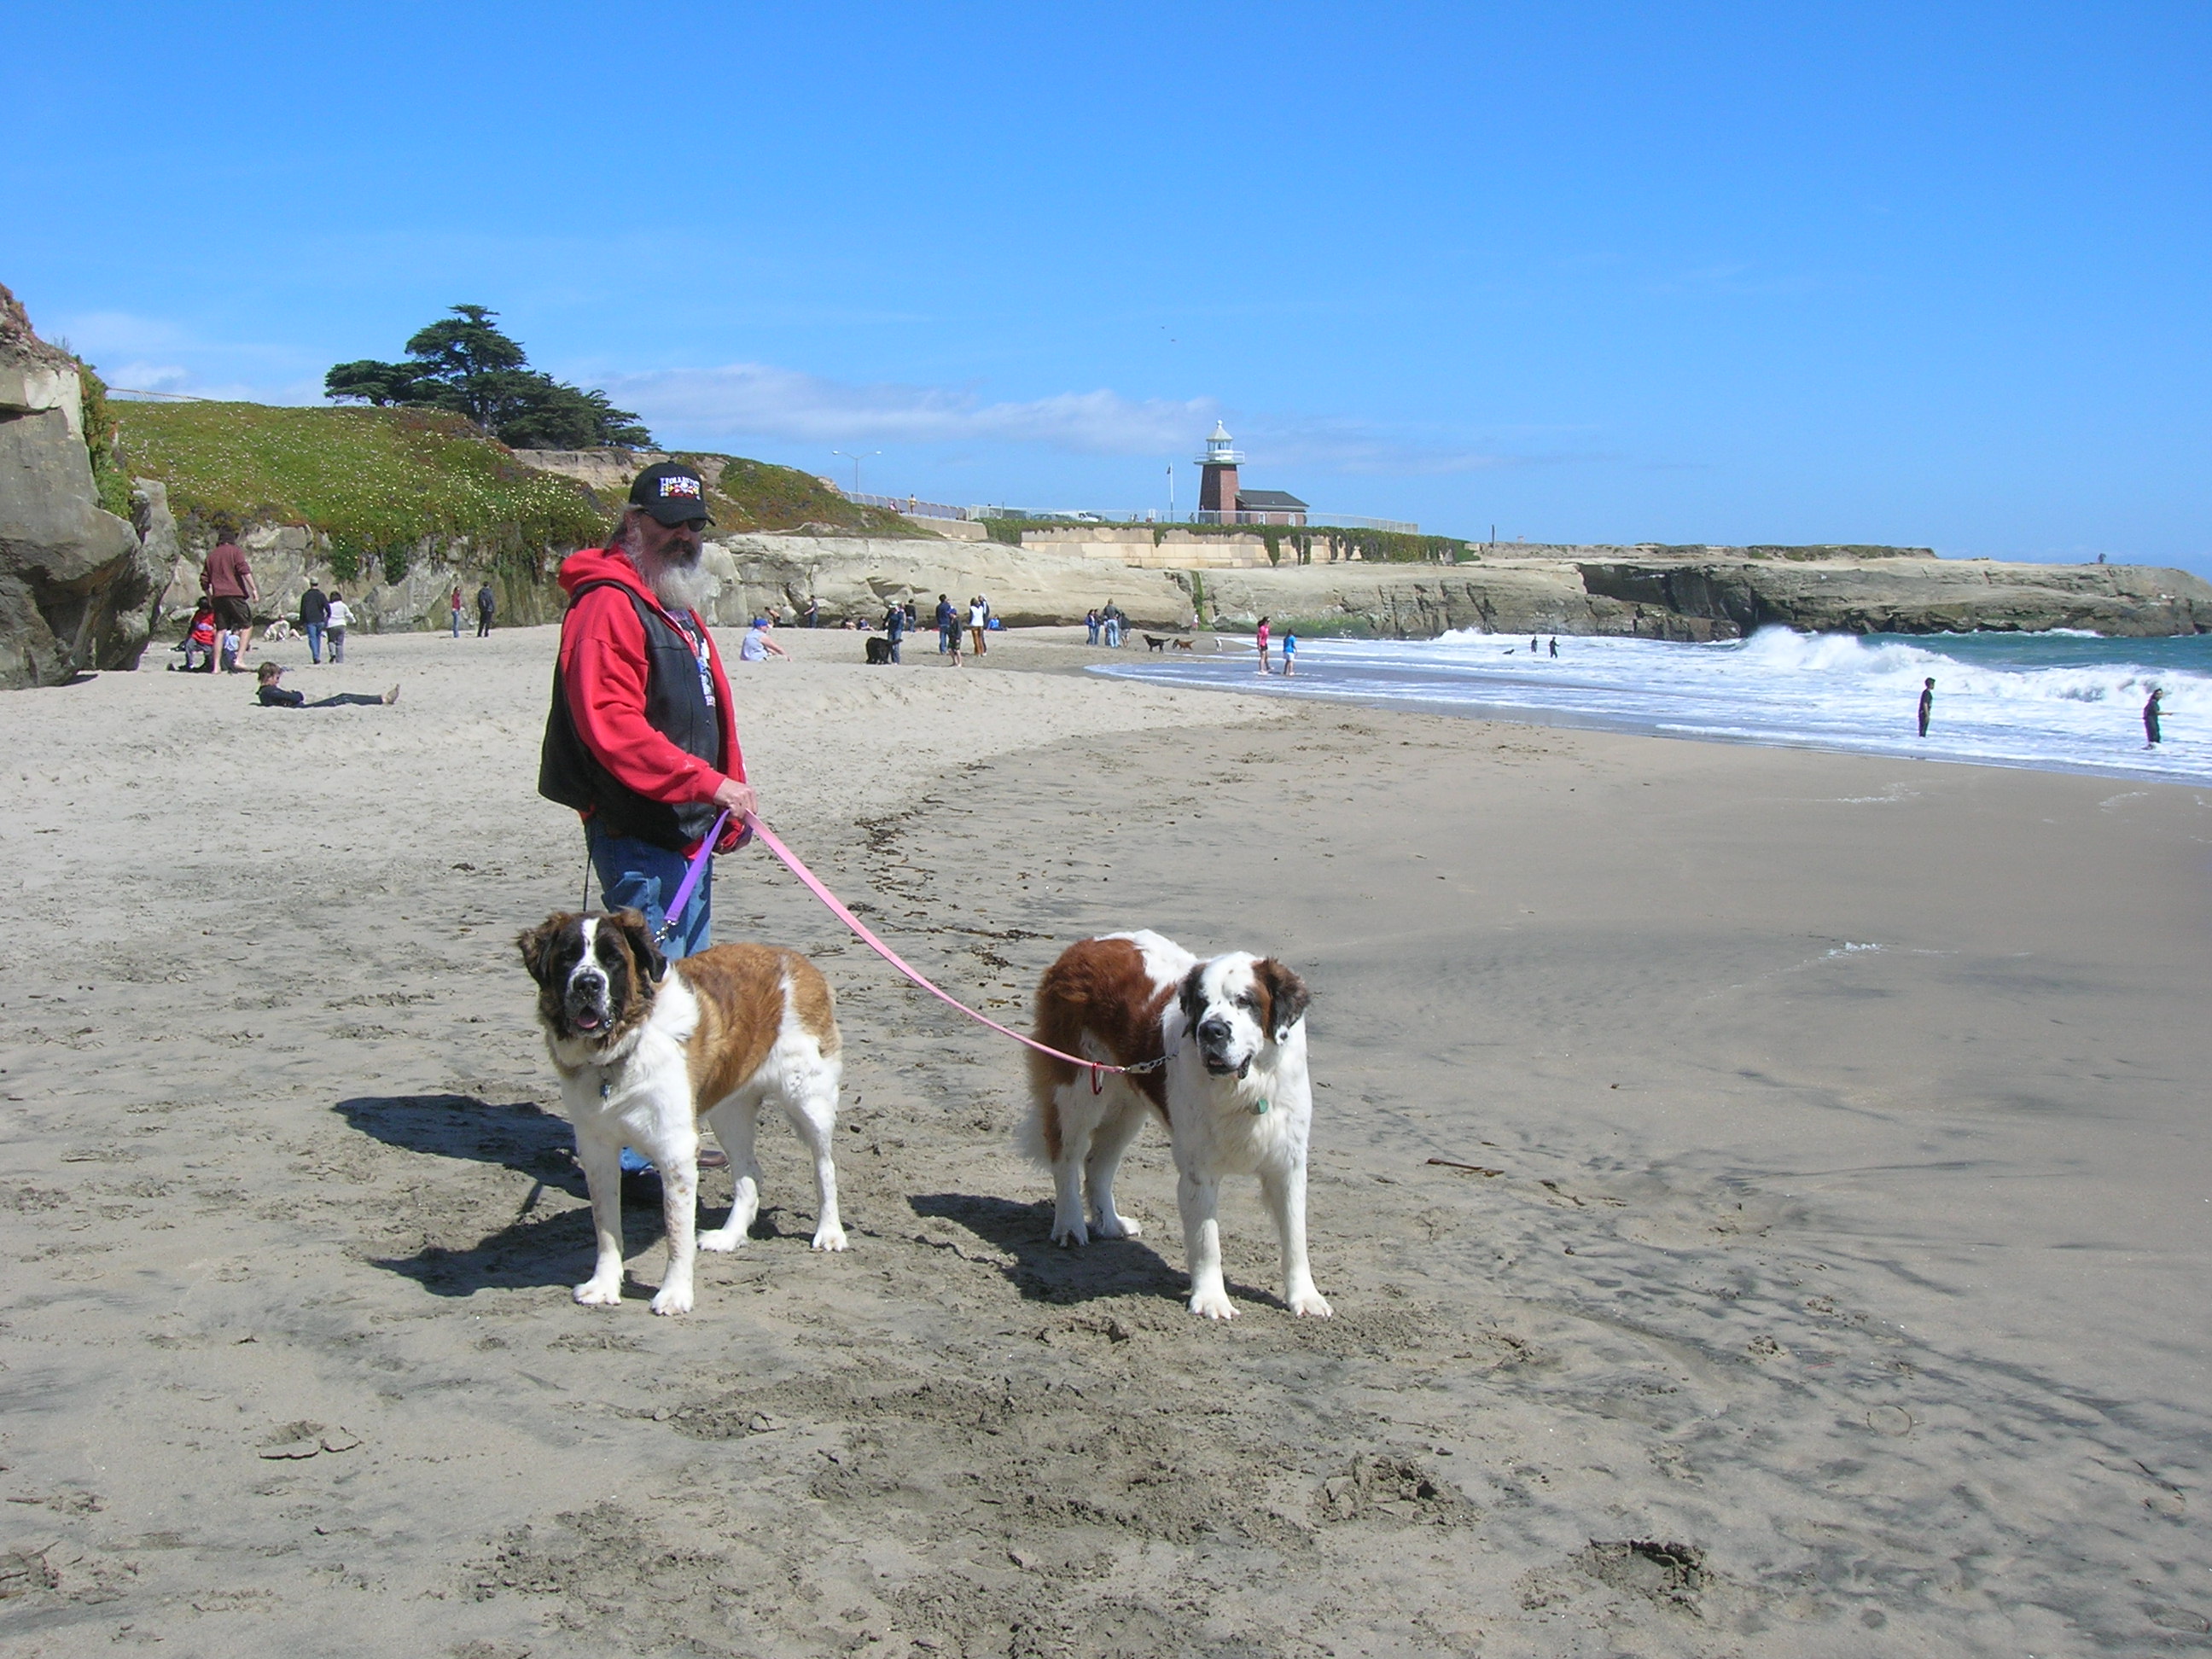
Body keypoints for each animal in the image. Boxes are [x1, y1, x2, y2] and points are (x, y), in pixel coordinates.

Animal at [517, 909, 846, 1315]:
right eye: (568, 956)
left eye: (613, 959)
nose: (588, 984)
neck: (616, 1054)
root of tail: (797, 960)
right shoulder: (596, 1149)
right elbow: (606, 1226)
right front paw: (603, 1286)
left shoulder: (675, 1152)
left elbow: (677, 1232)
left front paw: (674, 1294)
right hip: (729, 1110)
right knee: (749, 1172)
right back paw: (729, 1236)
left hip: (809, 1101)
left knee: (824, 1166)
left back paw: (829, 1232)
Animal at [1022, 931, 1329, 1320]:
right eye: (1202, 1002)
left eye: (1244, 1001)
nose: (1211, 1029)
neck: (1246, 1087)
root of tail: (1084, 945)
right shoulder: (1198, 1171)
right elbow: (1207, 1239)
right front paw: (1212, 1299)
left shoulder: (1288, 1164)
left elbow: (1295, 1238)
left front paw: (1305, 1297)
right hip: (1076, 1091)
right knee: (1067, 1158)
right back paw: (1071, 1226)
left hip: (1126, 1109)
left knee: (1098, 1165)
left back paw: (1111, 1223)